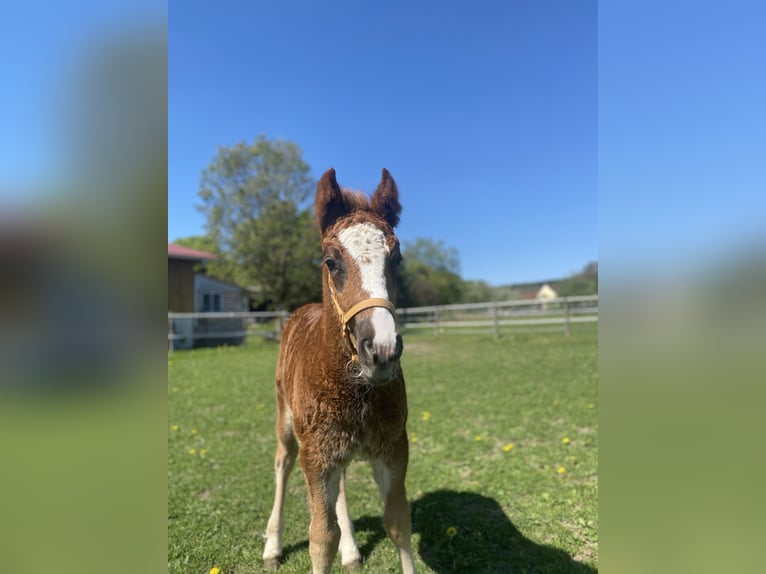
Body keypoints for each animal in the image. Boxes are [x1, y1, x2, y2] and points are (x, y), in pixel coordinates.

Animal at [262, 168, 416, 574]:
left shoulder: (394, 447)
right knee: (281, 462)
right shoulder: (316, 456)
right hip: (286, 418)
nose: (381, 350)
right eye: (331, 261)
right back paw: (272, 545)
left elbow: (398, 523)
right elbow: (321, 538)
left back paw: (351, 550)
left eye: (397, 260)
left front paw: (349, 544)